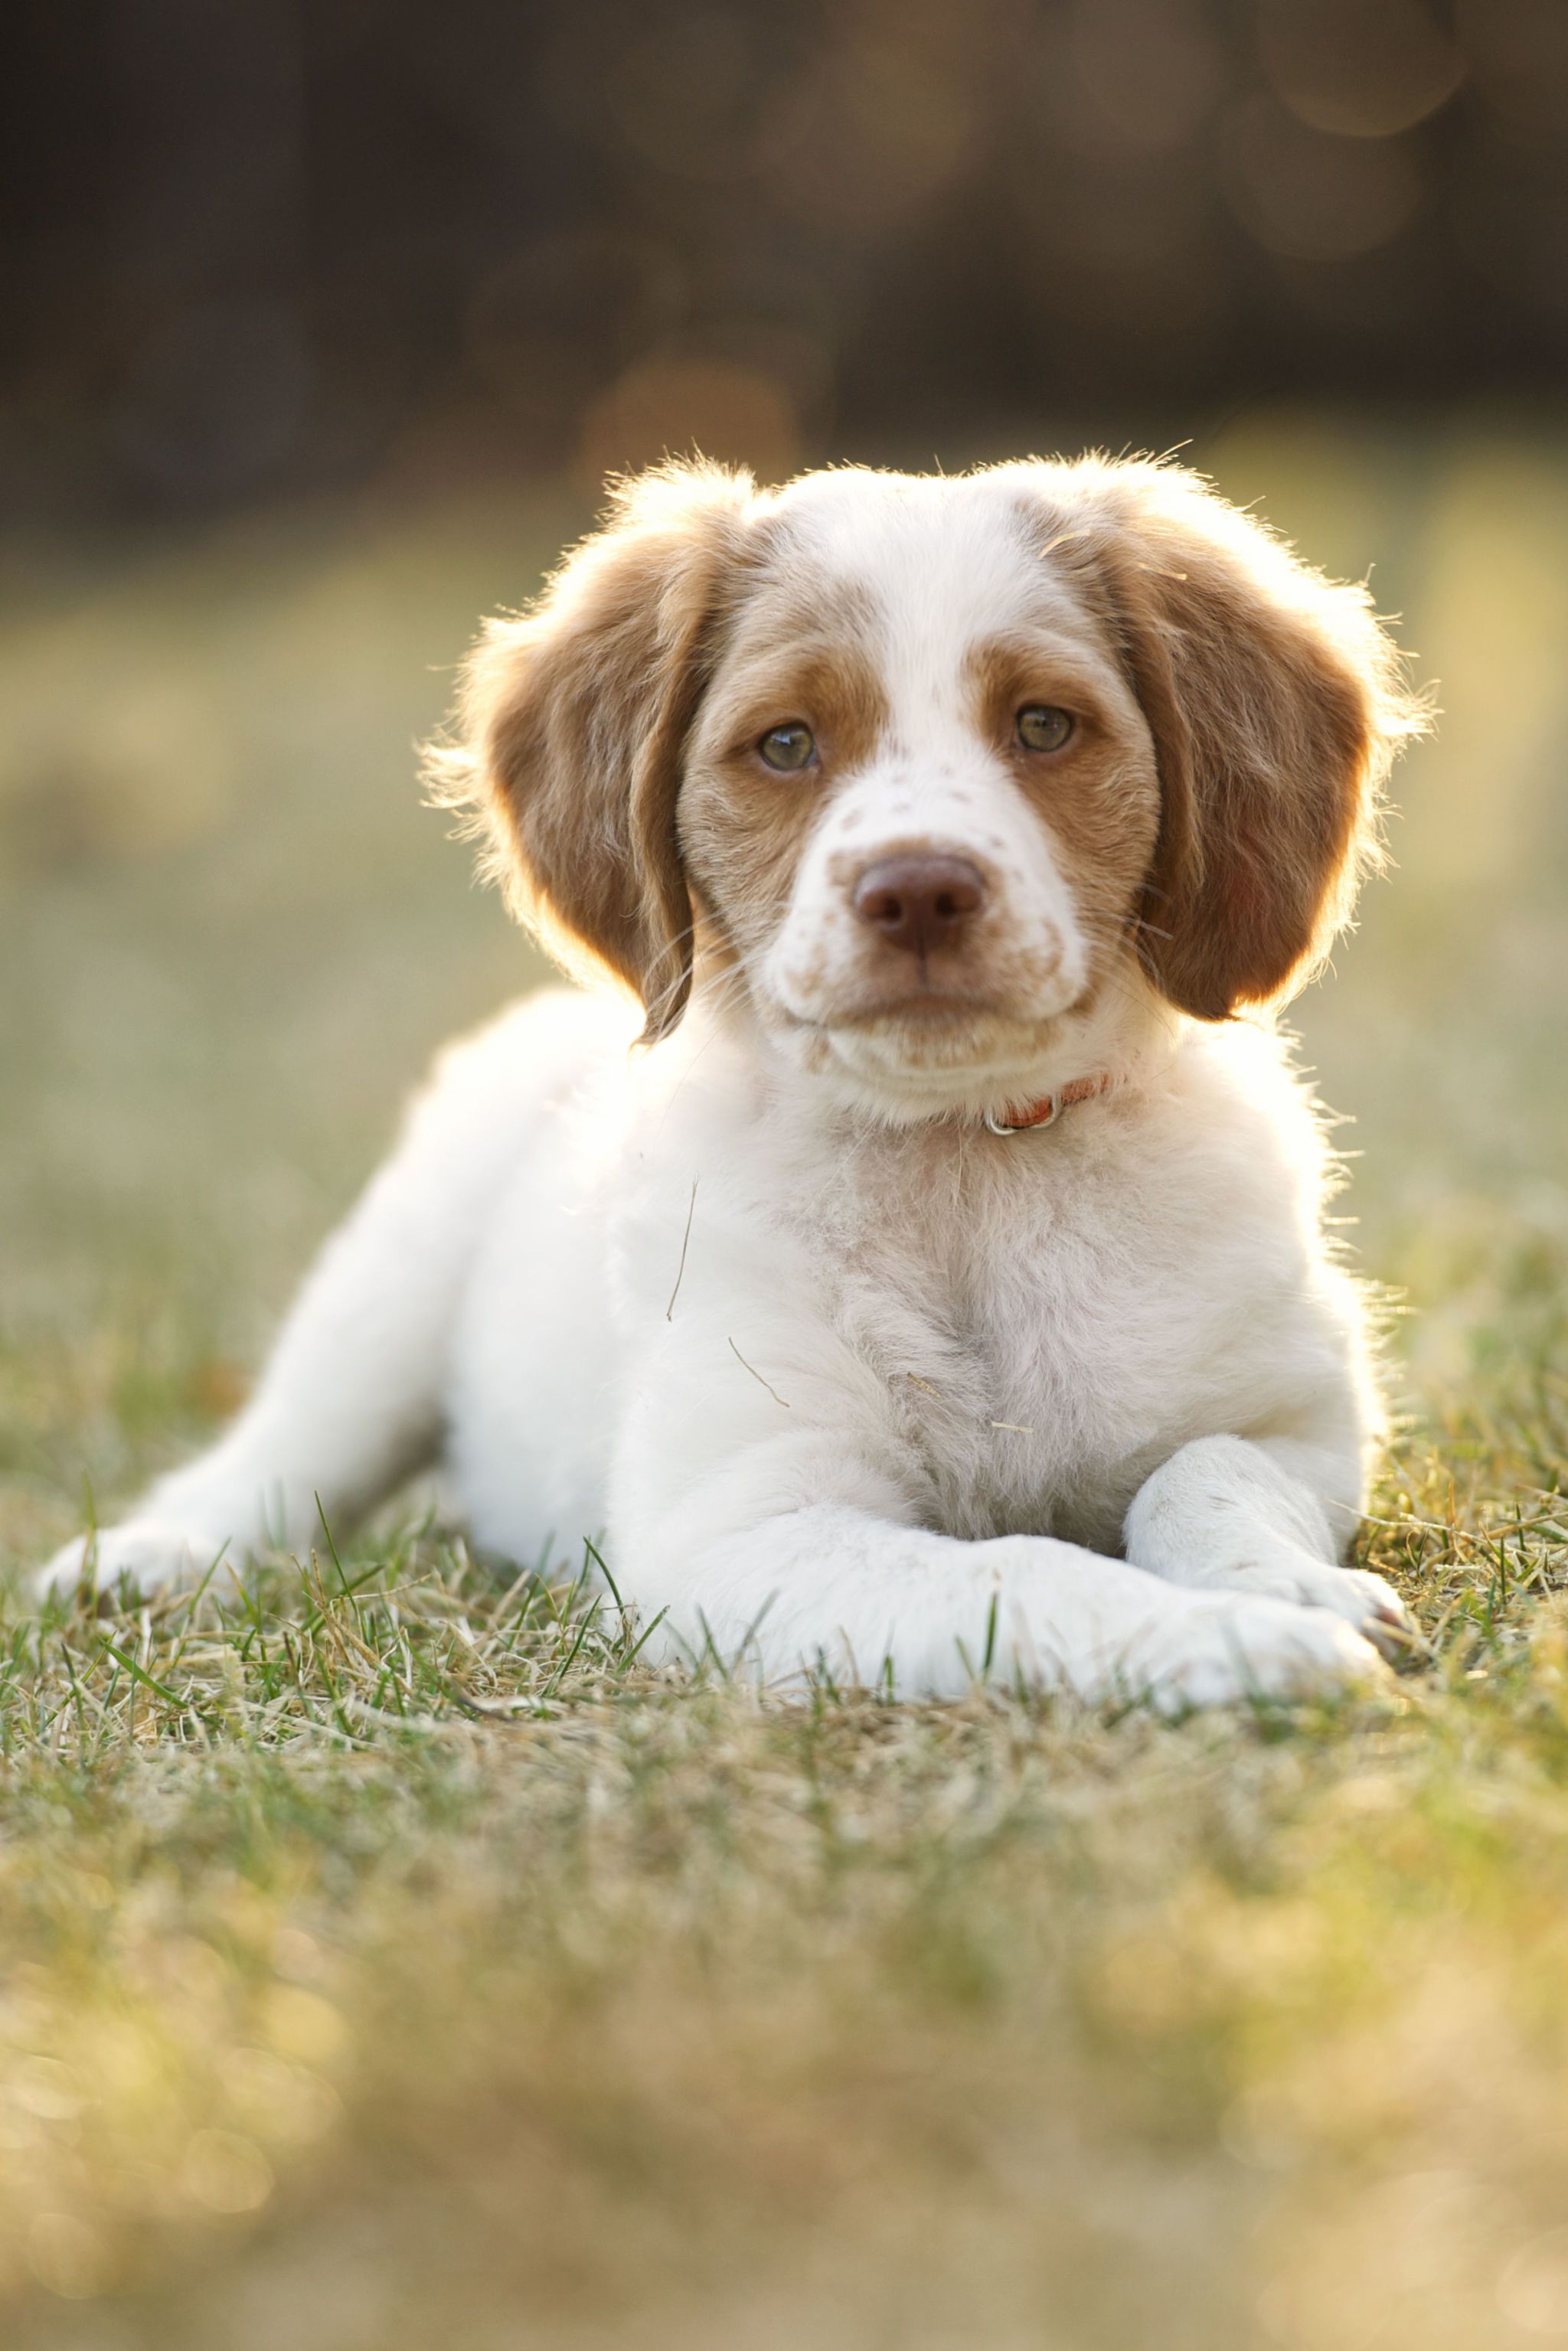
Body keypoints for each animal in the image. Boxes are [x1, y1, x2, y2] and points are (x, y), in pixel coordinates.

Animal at [43, 458, 1429, 1711]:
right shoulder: (740, 1529)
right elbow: (1025, 1572)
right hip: (387, 1288)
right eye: (785, 743)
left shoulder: (1296, 1417)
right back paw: (153, 1556)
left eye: (1043, 725)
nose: (919, 888)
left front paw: (1283, 1584)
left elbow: (1201, 1476)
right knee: (285, 1451)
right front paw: (1235, 1642)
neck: (963, 1164)